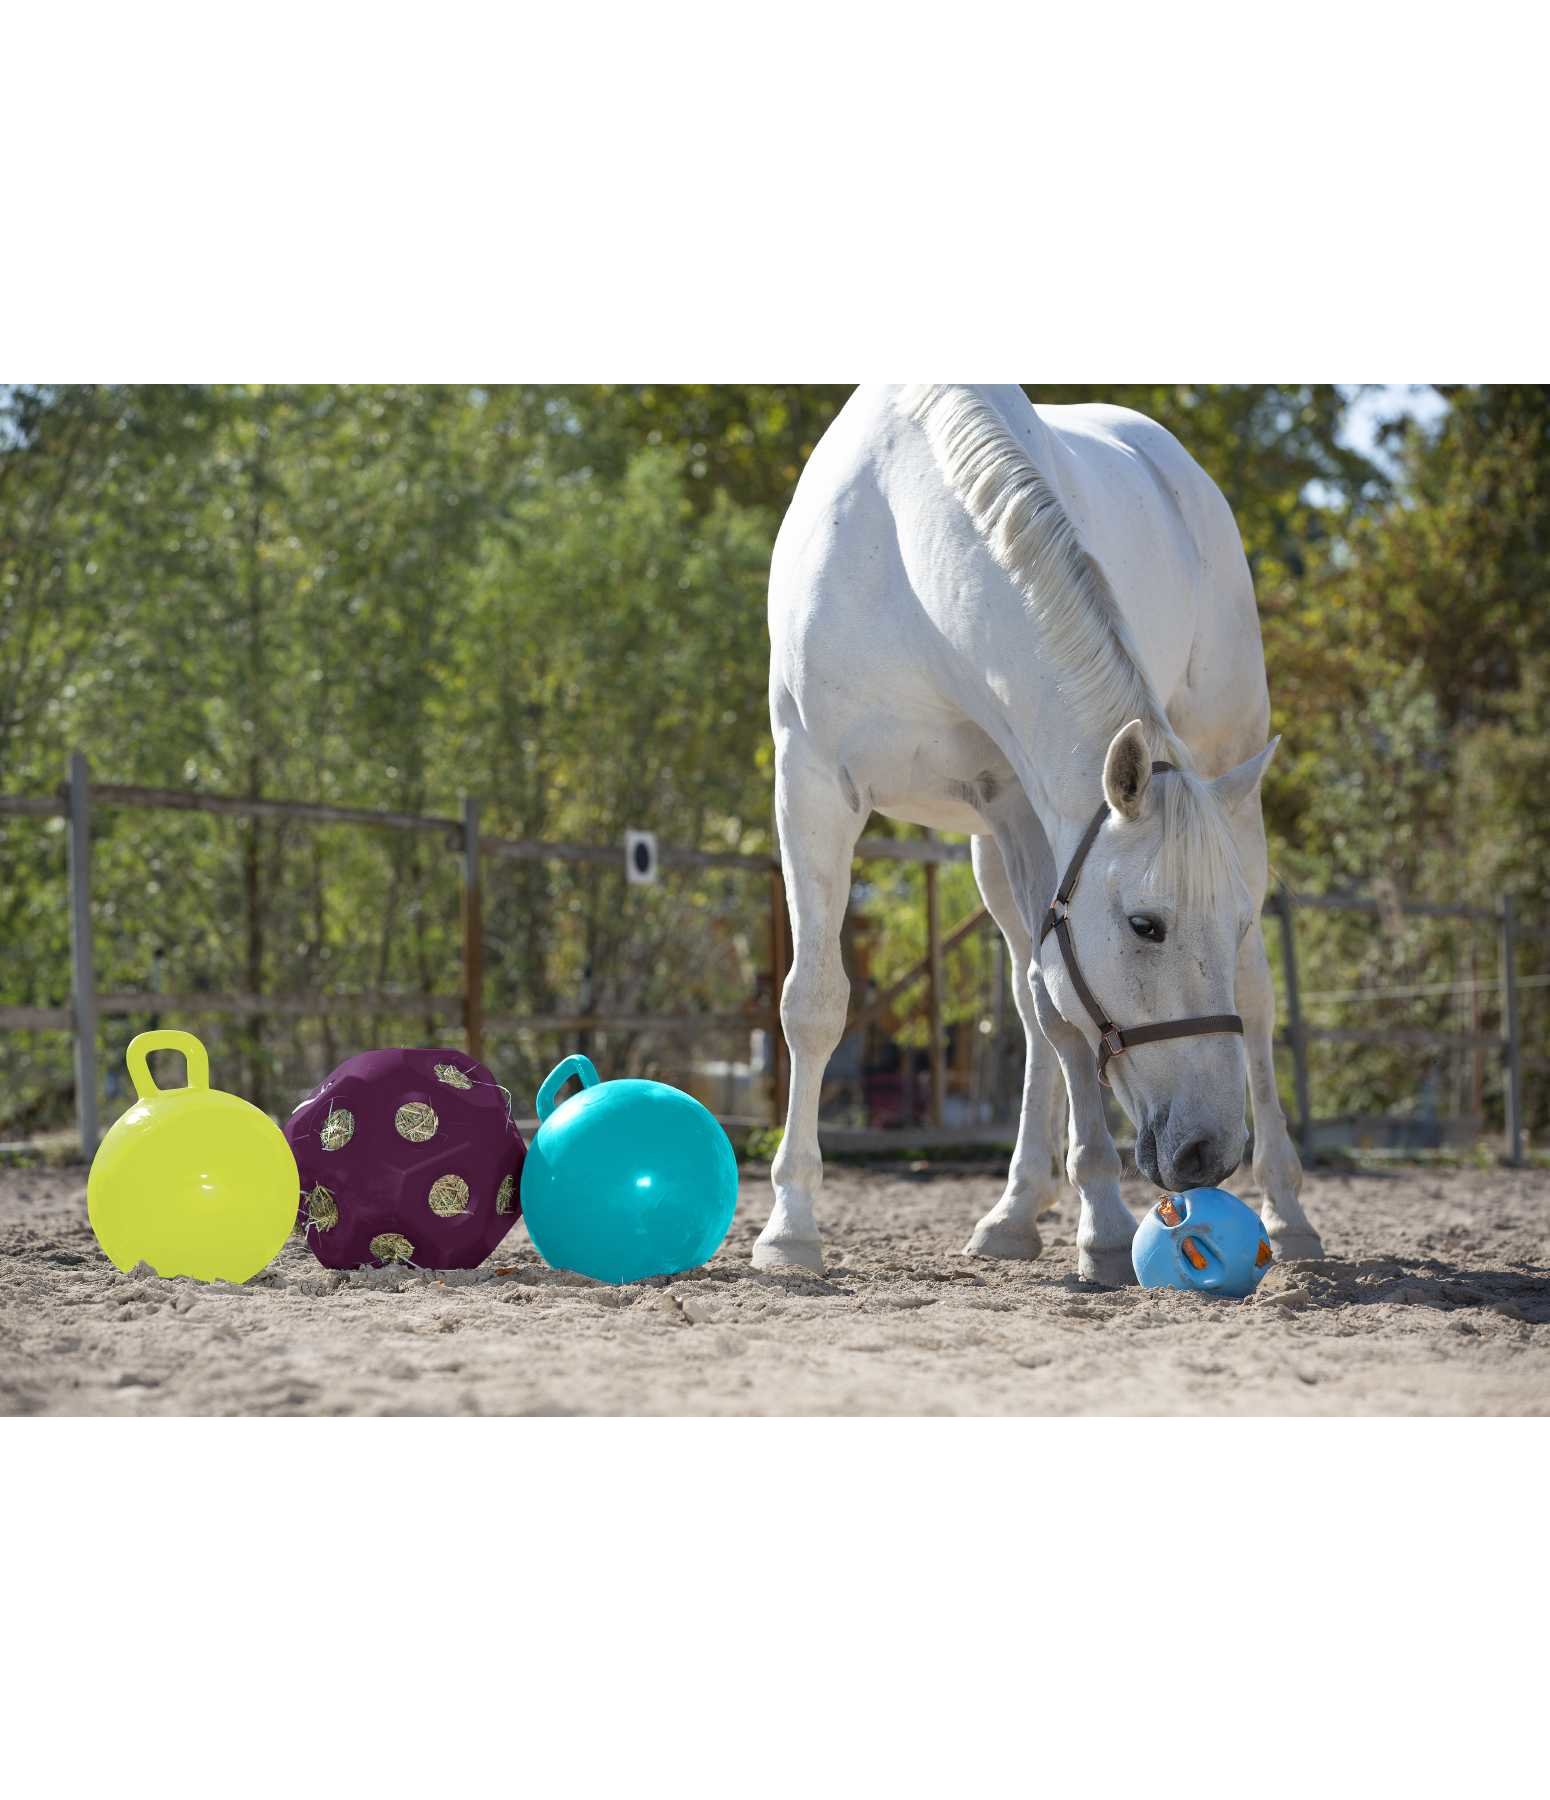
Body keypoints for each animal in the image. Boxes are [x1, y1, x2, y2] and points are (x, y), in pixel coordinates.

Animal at [754, 384, 1325, 1284]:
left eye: (1227, 924)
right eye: (1145, 925)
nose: (1210, 1152)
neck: (906, 547)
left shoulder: (1032, 805)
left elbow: (1063, 1015)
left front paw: (1104, 1227)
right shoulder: (813, 784)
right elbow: (813, 1003)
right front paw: (789, 1230)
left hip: (1228, 779)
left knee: (1255, 998)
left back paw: (1288, 1213)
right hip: (989, 849)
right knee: (1025, 1005)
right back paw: (1015, 1212)